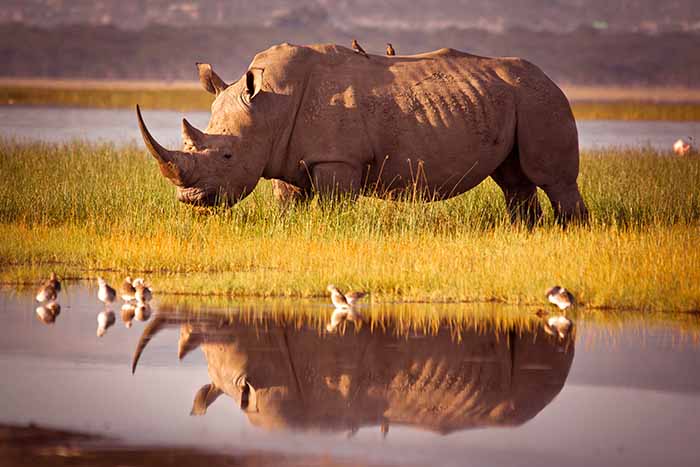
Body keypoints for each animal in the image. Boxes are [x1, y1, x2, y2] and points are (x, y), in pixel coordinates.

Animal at [137, 43, 588, 226]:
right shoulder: (282, 155)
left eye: (227, 157)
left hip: (542, 100)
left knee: (554, 180)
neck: (269, 107)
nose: (190, 200)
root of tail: (550, 78)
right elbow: (288, 203)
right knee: (514, 181)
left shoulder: (338, 159)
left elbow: (335, 206)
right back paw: (525, 231)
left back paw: (571, 231)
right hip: (515, 99)